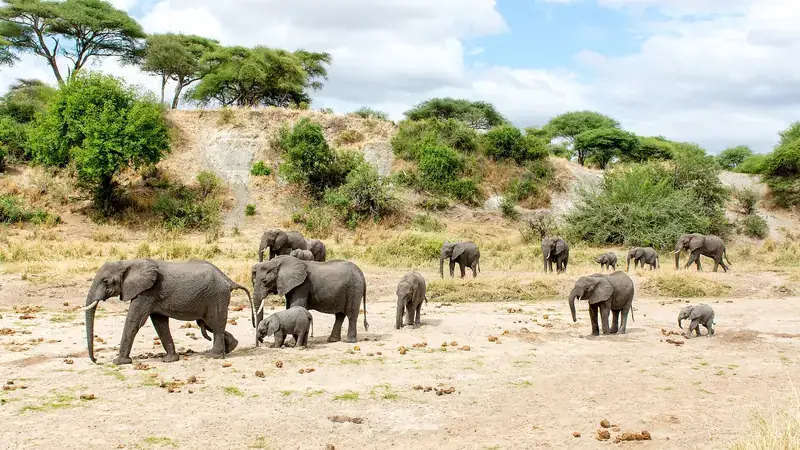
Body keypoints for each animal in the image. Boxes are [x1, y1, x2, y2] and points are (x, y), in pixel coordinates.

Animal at [82, 259, 253, 365]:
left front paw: (119, 363)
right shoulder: (151, 295)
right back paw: (230, 348)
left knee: (215, 324)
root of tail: (229, 280)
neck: (128, 262)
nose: (96, 360)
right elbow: (160, 324)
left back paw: (213, 356)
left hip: (216, 296)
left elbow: (134, 321)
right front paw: (170, 360)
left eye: (105, 281)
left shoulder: (147, 292)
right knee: (210, 324)